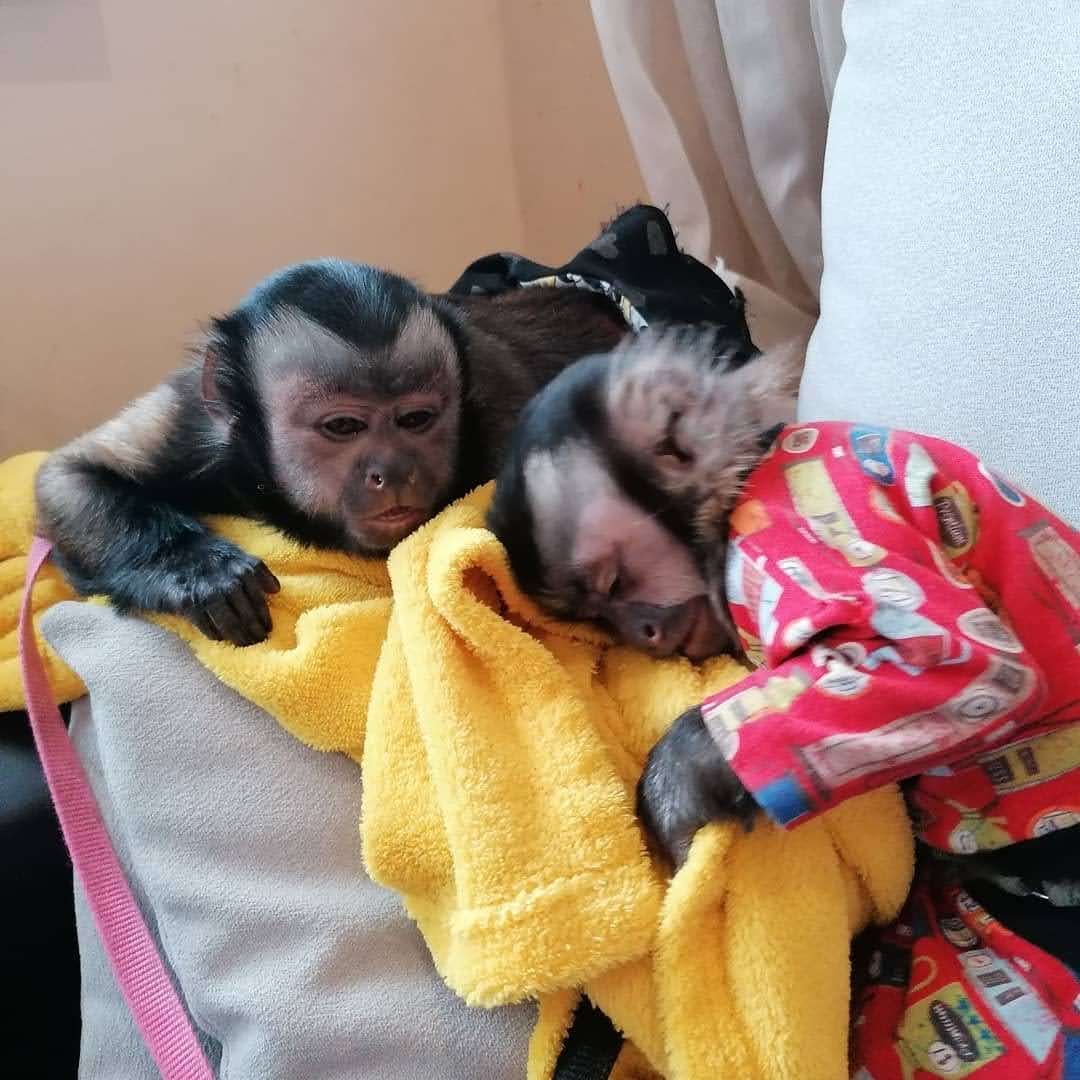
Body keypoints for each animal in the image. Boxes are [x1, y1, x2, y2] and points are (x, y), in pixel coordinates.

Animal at [35, 259, 629, 647]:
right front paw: (197, 569)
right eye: (343, 426)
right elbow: (68, 475)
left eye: (415, 420)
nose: (393, 471)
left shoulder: (501, 409)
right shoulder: (197, 418)